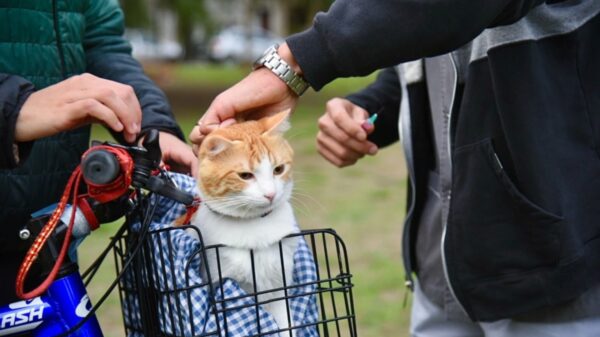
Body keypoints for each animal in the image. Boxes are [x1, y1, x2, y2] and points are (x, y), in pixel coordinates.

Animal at [189, 109, 298, 334]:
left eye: (278, 169)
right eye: (245, 175)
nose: (270, 194)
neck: (255, 225)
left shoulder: (279, 287)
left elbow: (286, 325)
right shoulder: (224, 287)